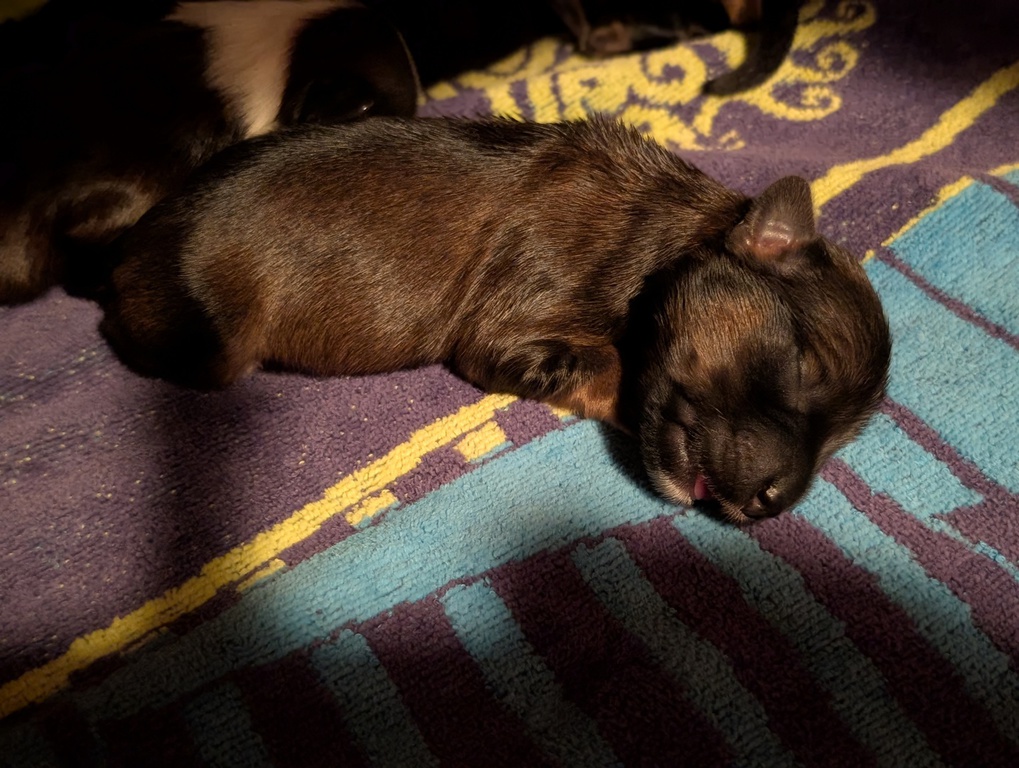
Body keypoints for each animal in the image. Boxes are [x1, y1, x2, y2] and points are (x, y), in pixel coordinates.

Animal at [99, 116, 891, 522]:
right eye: (805, 364)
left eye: (843, 441)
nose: (774, 505)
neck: (666, 235)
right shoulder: (510, 320)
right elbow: (609, 361)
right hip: (210, 339)